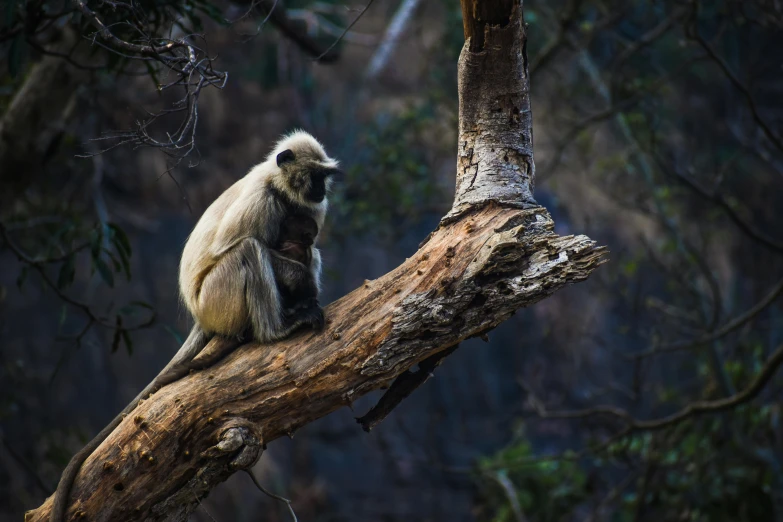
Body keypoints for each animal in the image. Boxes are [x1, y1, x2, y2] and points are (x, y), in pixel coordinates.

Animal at [50, 129, 342, 520]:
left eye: (324, 177)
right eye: (315, 176)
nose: (322, 190)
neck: (279, 190)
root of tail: (199, 314)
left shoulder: (310, 212)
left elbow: (308, 249)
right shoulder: (261, 202)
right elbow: (237, 248)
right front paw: (300, 284)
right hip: (217, 298)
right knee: (248, 249)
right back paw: (273, 330)